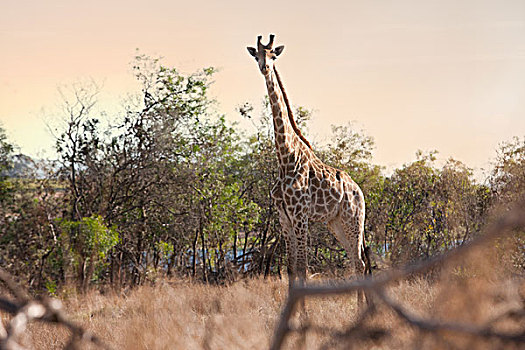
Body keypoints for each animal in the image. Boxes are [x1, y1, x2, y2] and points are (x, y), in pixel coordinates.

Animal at [248, 34, 370, 300]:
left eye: (273, 55)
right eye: (257, 55)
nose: (265, 67)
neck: (286, 158)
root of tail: (359, 191)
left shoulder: (300, 215)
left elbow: (303, 267)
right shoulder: (284, 217)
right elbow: (291, 268)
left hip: (353, 219)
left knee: (360, 263)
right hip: (336, 223)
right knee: (357, 262)